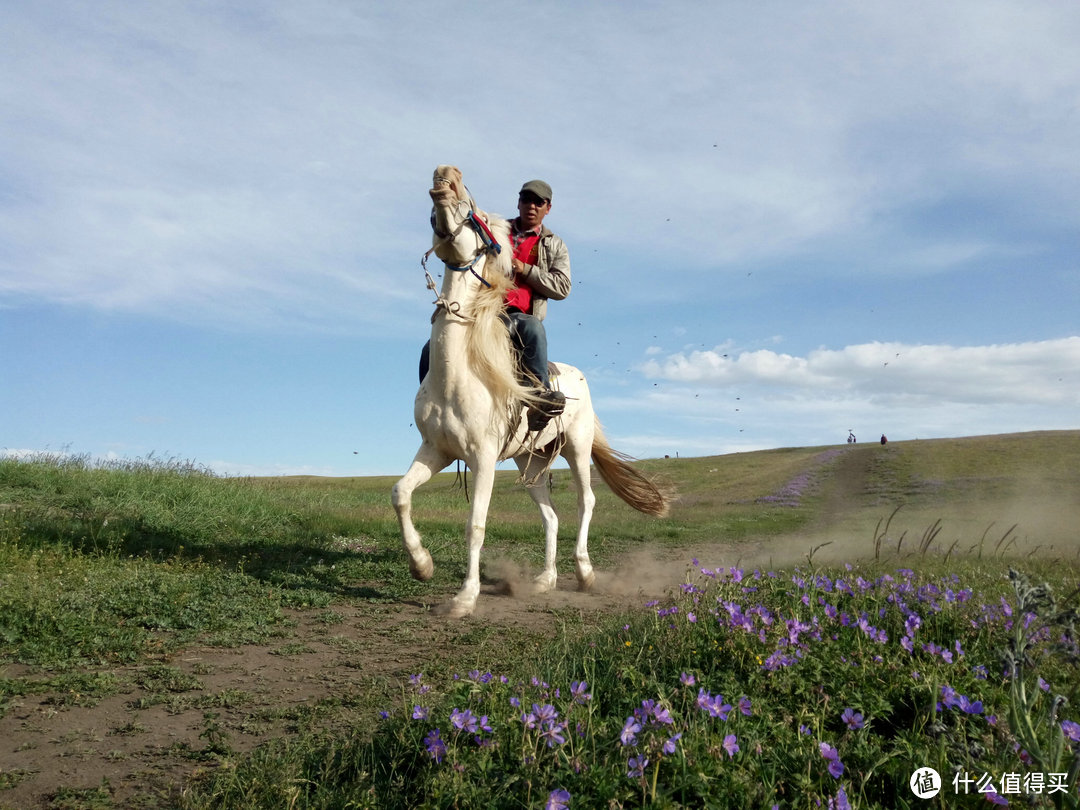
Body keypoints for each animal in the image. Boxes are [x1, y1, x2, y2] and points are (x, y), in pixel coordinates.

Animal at [393, 166, 669, 622]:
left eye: (475, 215)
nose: (446, 174)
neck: (457, 375)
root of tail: (578, 378)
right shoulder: (437, 450)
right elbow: (401, 494)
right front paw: (422, 566)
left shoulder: (483, 457)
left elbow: (475, 525)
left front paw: (465, 598)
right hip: (530, 460)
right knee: (550, 516)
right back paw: (545, 580)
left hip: (576, 447)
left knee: (586, 501)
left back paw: (585, 573)